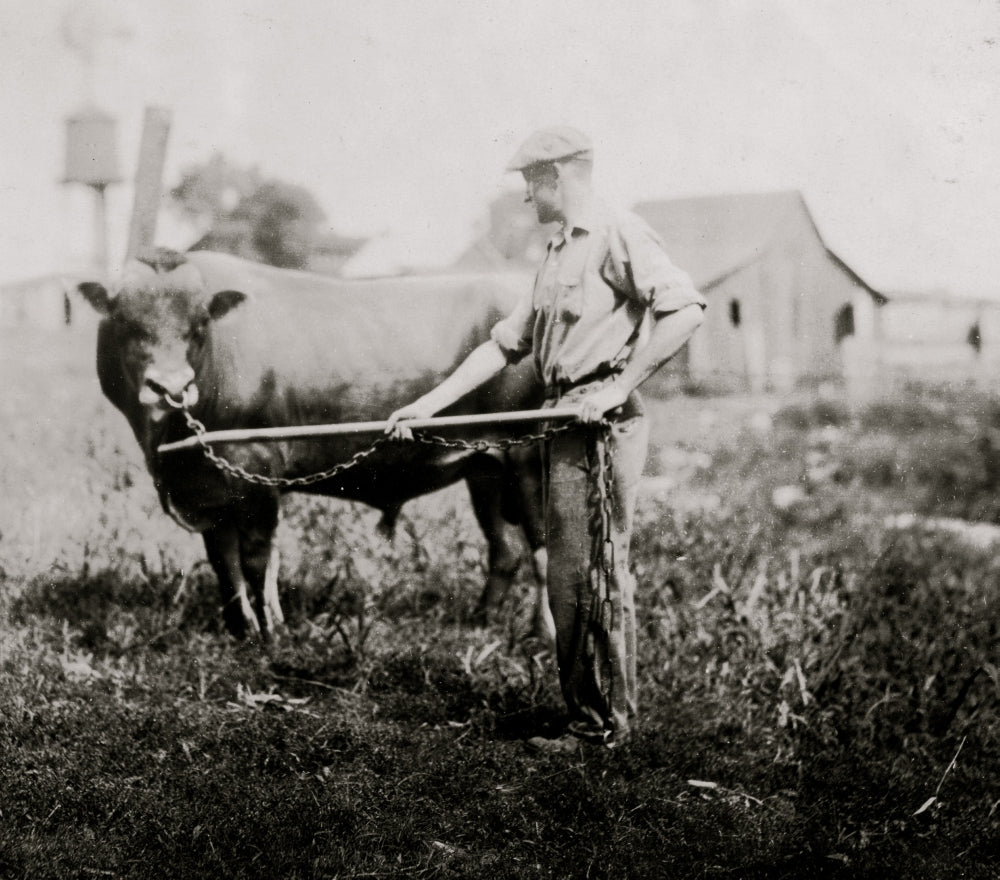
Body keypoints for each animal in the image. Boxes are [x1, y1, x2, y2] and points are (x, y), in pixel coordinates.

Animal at [79, 248, 553, 641]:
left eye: (198, 327)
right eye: (125, 324)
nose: (171, 388)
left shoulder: (258, 468)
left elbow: (256, 560)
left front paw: (271, 635)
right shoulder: (210, 486)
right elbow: (223, 562)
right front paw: (239, 630)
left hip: (528, 453)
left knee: (544, 547)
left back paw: (541, 635)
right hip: (485, 467)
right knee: (505, 549)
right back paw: (481, 620)